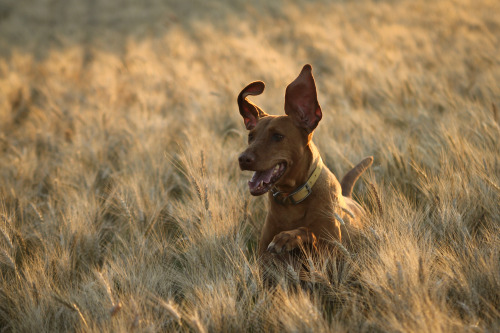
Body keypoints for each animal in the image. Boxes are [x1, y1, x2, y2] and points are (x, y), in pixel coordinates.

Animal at [237, 64, 372, 256]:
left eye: (278, 136)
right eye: (251, 136)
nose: (243, 159)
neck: (291, 198)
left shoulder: (334, 250)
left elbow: (308, 231)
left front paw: (287, 237)